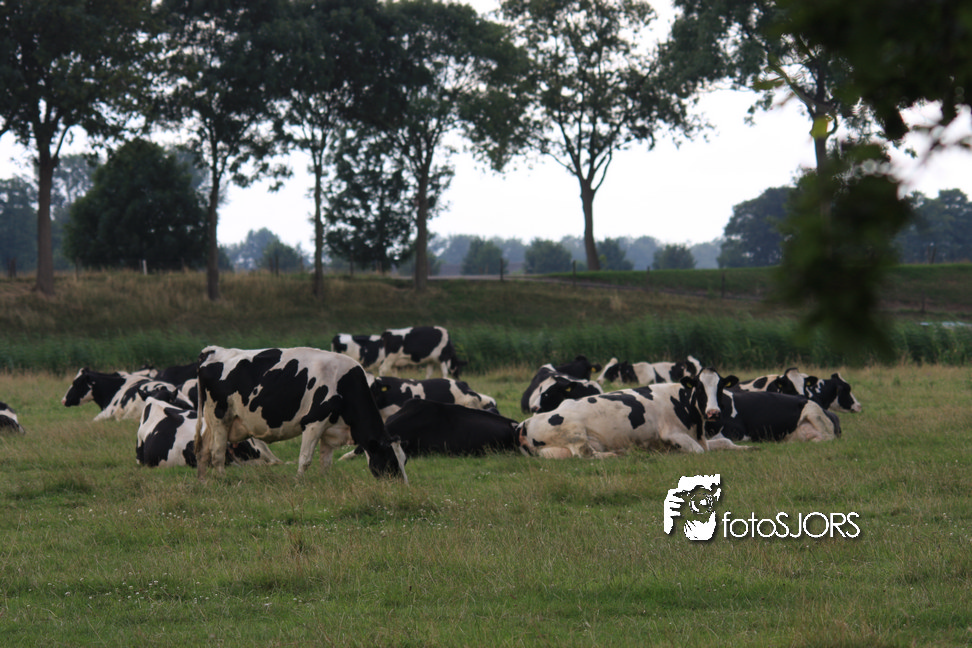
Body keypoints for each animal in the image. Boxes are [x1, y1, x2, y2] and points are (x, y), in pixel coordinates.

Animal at [194, 345, 408, 481]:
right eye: (390, 461)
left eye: (404, 459)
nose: (402, 486)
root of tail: (211, 352)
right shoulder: (314, 422)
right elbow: (305, 459)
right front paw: (298, 482)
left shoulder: (330, 431)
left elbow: (326, 462)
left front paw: (324, 481)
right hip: (221, 417)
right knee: (217, 453)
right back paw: (222, 480)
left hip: (212, 422)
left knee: (203, 450)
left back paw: (203, 482)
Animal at [517, 368, 742, 458]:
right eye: (700, 388)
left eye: (720, 388)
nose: (713, 413)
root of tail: (525, 423)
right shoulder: (672, 434)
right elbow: (699, 451)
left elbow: (724, 442)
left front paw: (744, 448)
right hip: (574, 430)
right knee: (586, 454)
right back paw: (618, 453)